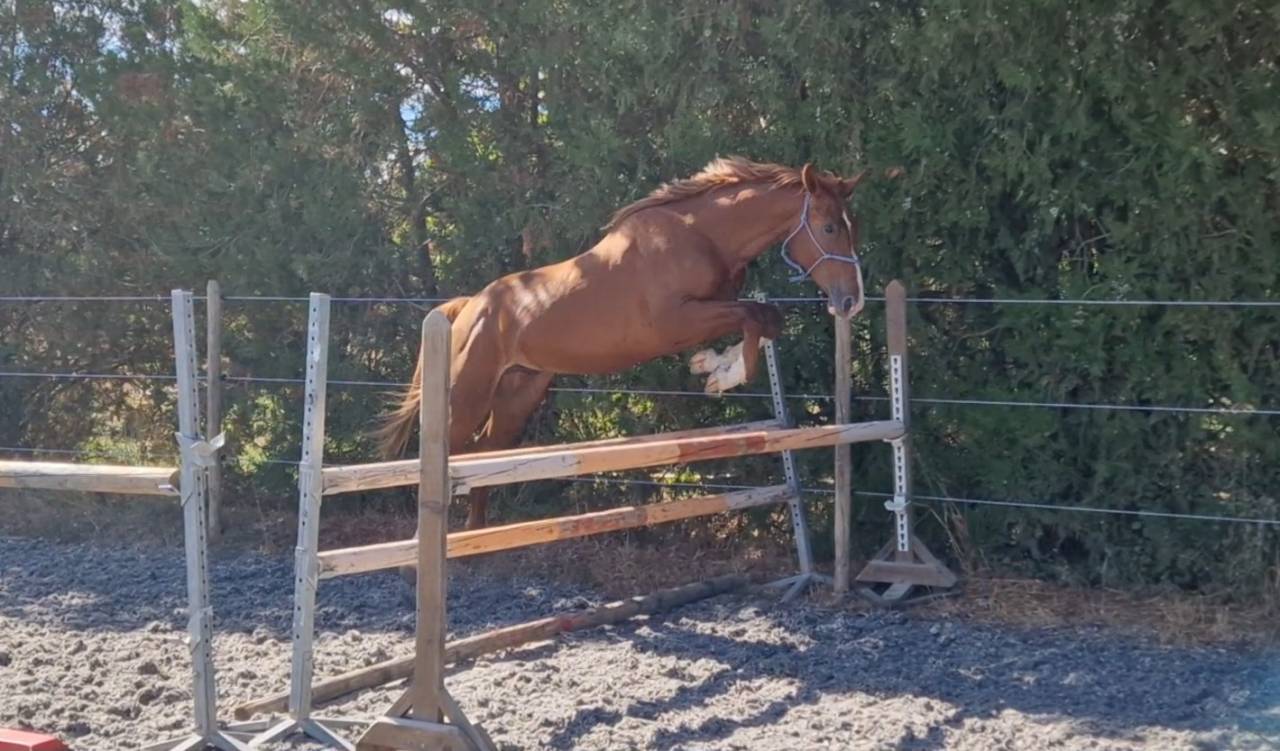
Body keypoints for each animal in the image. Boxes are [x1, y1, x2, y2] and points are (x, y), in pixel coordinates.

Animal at [376, 157, 869, 530]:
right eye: (829, 228)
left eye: (851, 226)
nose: (851, 301)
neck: (702, 236)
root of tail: (468, 308)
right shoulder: (675, 321)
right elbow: (753, 318)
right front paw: (718, 372)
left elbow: (767, 319)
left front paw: (714, 366)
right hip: (468, 394)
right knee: (450, 453)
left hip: (520, 391)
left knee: (486, 452)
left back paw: (476, 538)